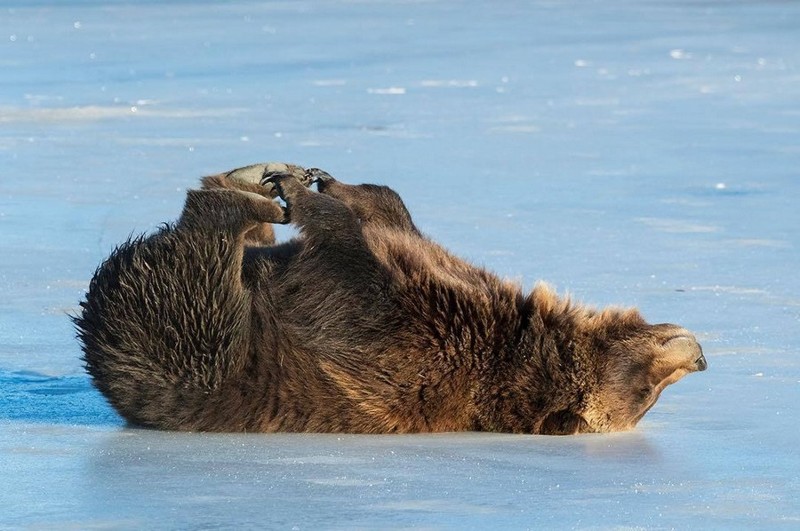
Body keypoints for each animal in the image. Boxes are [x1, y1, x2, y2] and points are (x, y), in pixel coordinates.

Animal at [76, 163, 708, 436]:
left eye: (642, 392)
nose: (698, 357)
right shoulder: (450, 276)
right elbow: (394, 218)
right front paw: (326, 180)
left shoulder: (412, 342)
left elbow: (348, 278)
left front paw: (305, 195)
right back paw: (248, 181)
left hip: (200, 349)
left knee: (200, 274)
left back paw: (244, 202)